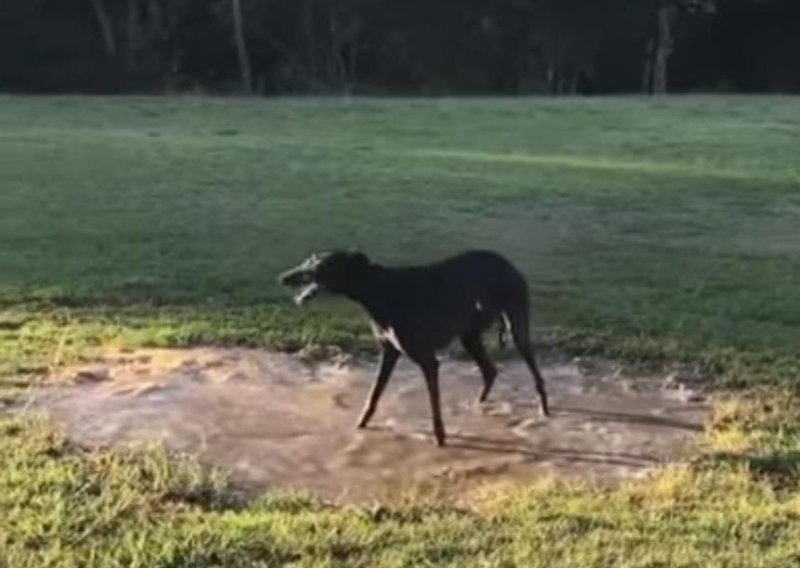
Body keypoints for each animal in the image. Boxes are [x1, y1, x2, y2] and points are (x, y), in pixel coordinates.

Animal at [278, 251, 548, 446]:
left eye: (320, 265)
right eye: (309, 259)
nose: (283, 277)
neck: (379, 288)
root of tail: (509, 264)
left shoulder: (428, 360)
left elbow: (434, 407)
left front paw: (440, 438)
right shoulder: (390, 351)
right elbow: (374, 395)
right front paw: (361, 424)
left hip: (515, 326)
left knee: (535, 374)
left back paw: (543, 410)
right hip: (469, 335)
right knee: (489, 370)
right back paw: (478, 405)